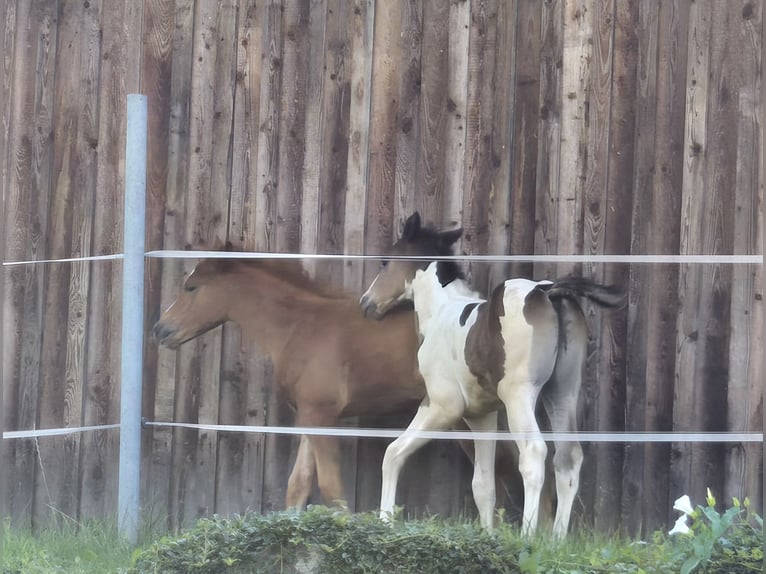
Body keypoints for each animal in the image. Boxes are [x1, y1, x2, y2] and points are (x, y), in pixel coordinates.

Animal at [153, 256, 426, 508]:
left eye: (191, 287)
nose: (160, 329)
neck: (300, 327)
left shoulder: (321, 414)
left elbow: (331, 489)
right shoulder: (309, 415)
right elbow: (298, 485)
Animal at [362, 213, 624, 540]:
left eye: (385, 262)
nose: (367, 303)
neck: (441, 313)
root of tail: (548, 291)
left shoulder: (443, 405)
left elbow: (393, 452)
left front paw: (384, 522)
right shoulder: (481, 415)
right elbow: (483, 484)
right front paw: (487, 536)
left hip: (519, 395)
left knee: (534, 453)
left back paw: (528, 536)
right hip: (563, 391)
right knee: (568, 458)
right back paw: (557, 540)